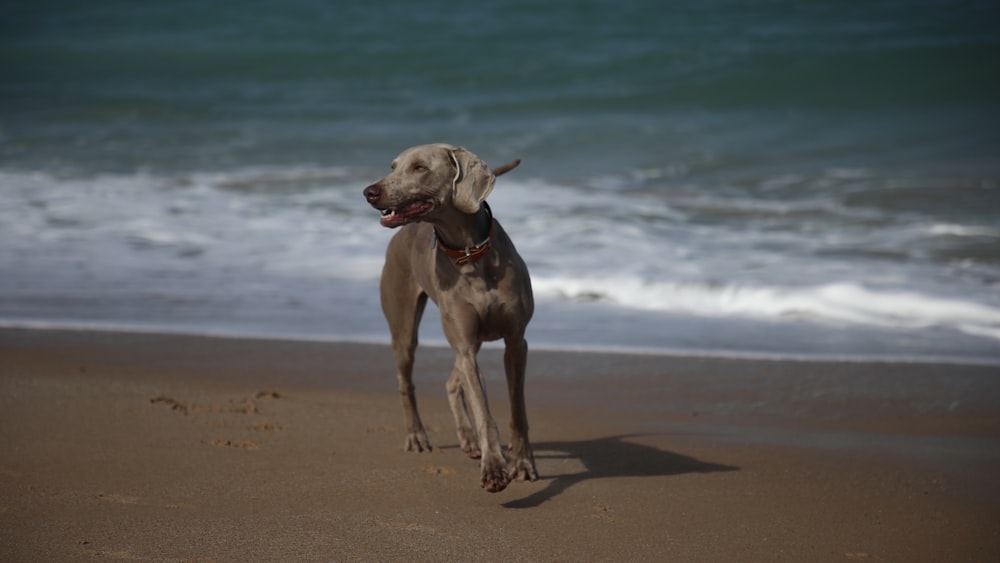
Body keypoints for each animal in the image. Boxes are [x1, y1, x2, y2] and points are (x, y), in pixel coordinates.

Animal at [366, 145, 540, 494]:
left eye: (419, 167)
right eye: (393, 167)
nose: (369, 192)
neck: (470, 252)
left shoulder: (516, 341)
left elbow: (517, 410)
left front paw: (523, 463)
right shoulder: (465, 343)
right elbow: (484, 412)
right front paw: (494, 469)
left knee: (453, 380)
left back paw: (469, 440)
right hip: (405, 329)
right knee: (407, 381)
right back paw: (418, 436)